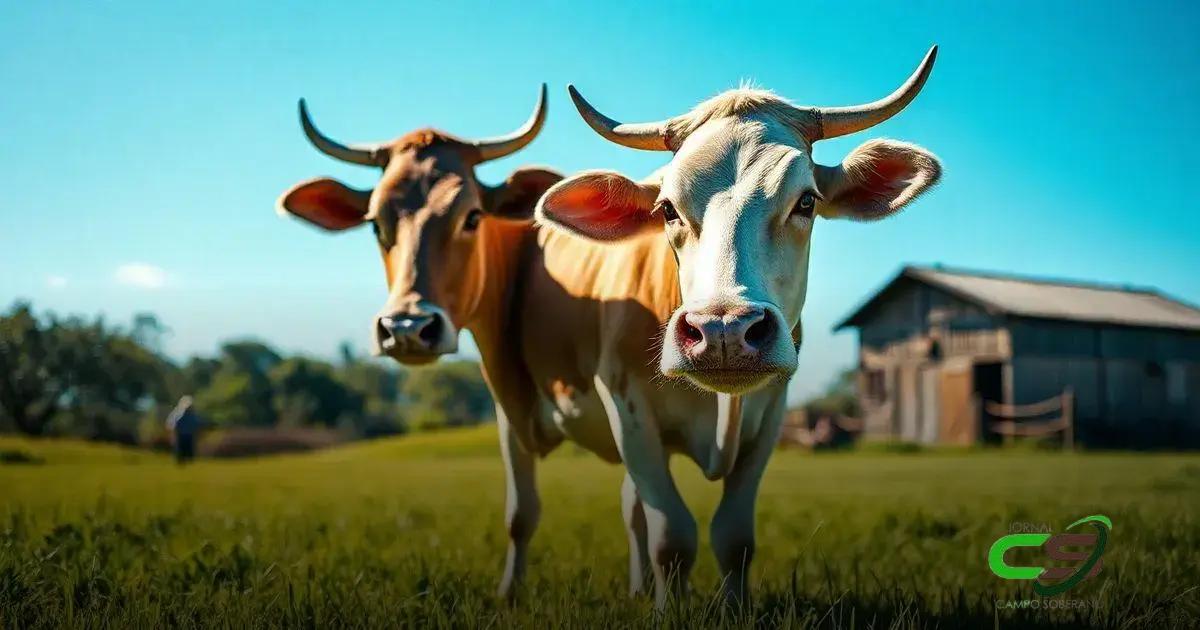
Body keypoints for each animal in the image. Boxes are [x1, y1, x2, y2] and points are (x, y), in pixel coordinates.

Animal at [535, 47, 942, 605]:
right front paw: (669, 610)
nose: (723, 331)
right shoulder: (626, 409)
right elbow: (671, 535)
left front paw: (730, 608)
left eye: (807, 201)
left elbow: (733, 535)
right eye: (667, 209)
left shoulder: (771, 415)